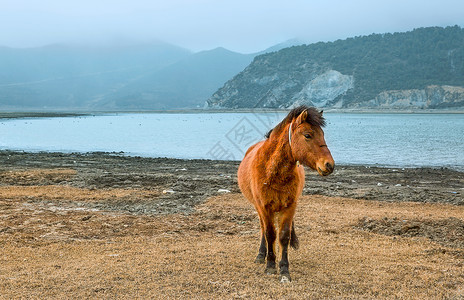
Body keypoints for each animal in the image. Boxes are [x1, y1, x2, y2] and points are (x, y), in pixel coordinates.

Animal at [239, 105, 334, 282]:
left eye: (323, 135)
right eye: (308, 135)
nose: (329, 165)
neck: (272, 172)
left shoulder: (289, 207)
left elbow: (283, 236)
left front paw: (284, 269)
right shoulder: (264, 208)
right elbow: (270, 234)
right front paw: (270, 265)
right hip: (258, 208)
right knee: (262, 229)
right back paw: (261, 255)